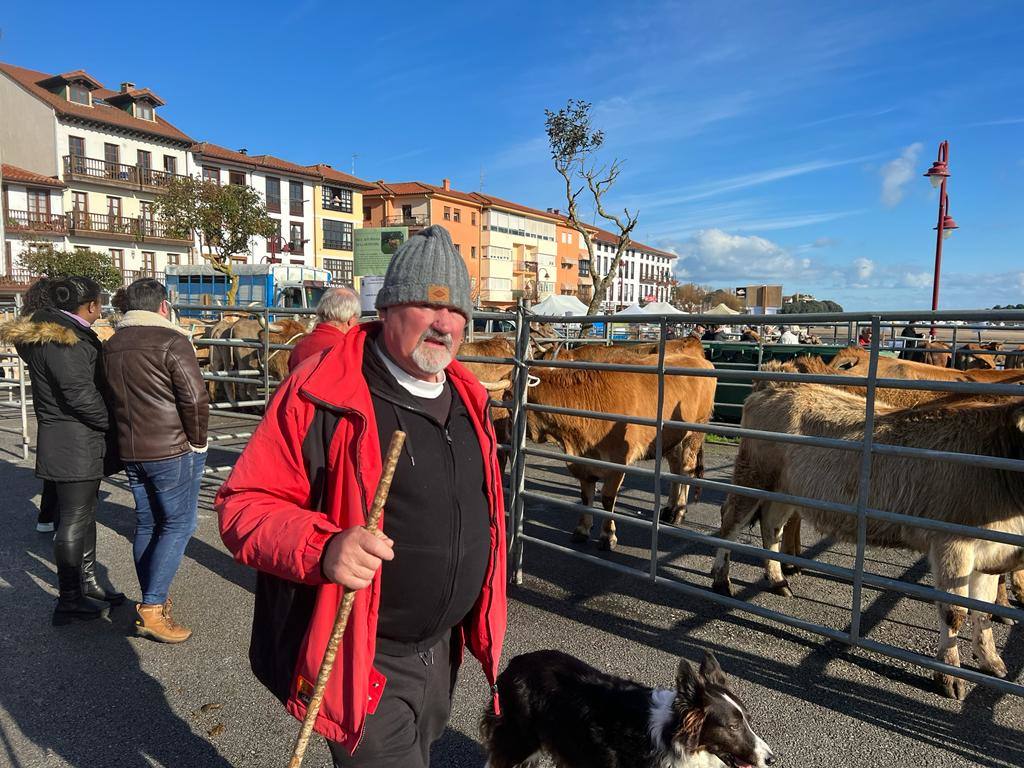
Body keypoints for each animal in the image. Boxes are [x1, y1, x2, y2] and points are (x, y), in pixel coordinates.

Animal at [481, 651, 774, 768]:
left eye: (748, 721)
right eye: (733, 727)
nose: (772, 759)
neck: (674, 738)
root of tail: (516, 663)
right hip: (518, 743)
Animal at [524, 352, 716, 548]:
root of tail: (699, 360)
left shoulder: (618, 462)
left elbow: (608, 498)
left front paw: (608, 536)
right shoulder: (582, 461)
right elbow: (586, 497)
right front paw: (582, 529)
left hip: (695, 432)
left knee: (687, 469)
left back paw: (679, 512)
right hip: (672, 439)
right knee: (675, 468)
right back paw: (669, 509)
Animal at [712, 382, 1024, 700]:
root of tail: (774, 387)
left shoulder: (990, 552)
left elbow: (983, 610)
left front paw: (991, 661)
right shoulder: (951, 545)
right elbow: (954, 611)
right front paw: (949, 675)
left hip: (785, 490)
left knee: (771, 527)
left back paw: (778, 580)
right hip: (752, 476)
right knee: (730, 524)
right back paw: (721, 580)